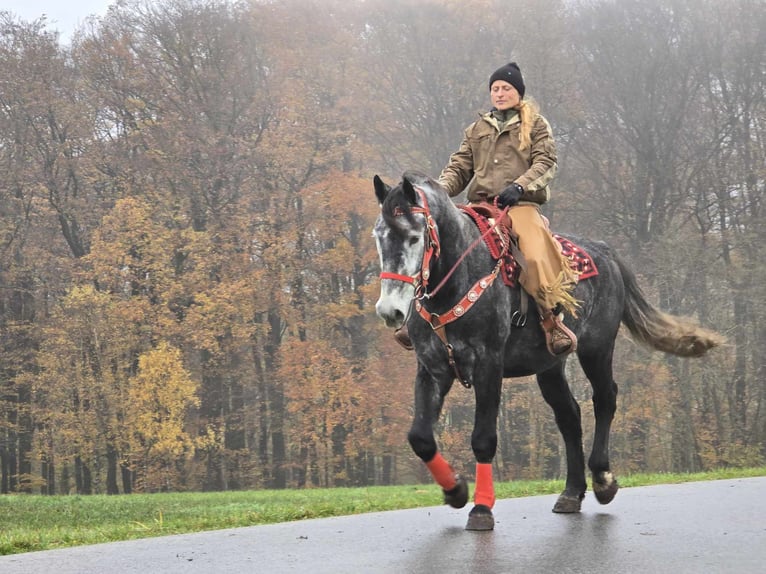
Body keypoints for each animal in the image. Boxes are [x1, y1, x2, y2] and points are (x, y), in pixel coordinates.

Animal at [376, 171, 724, 532]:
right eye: (379, 236)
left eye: (414, 238)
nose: (390, 311)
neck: (462, 275)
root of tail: (606, 253)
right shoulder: (432, 369)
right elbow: (420, 438)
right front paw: (456, 490)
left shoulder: (489, 366)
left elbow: (483, 439)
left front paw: (481, 508)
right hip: (550, 366)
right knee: (569, 416)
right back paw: (571, 493)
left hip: (597, 349)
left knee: (605, 399)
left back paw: (603, 479)